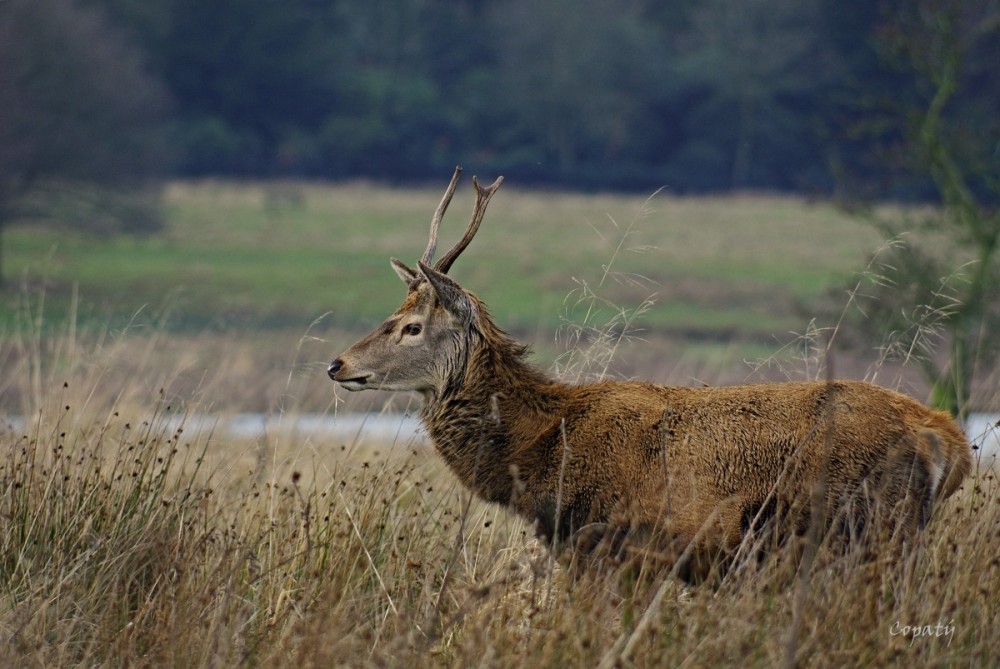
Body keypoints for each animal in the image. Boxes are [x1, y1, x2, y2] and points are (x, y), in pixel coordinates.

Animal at [328, 167, 968, 580]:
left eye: (412, 326)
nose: (338, 364)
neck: (544, 450)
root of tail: (947, 440)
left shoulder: (608, 542)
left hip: (862, 528)